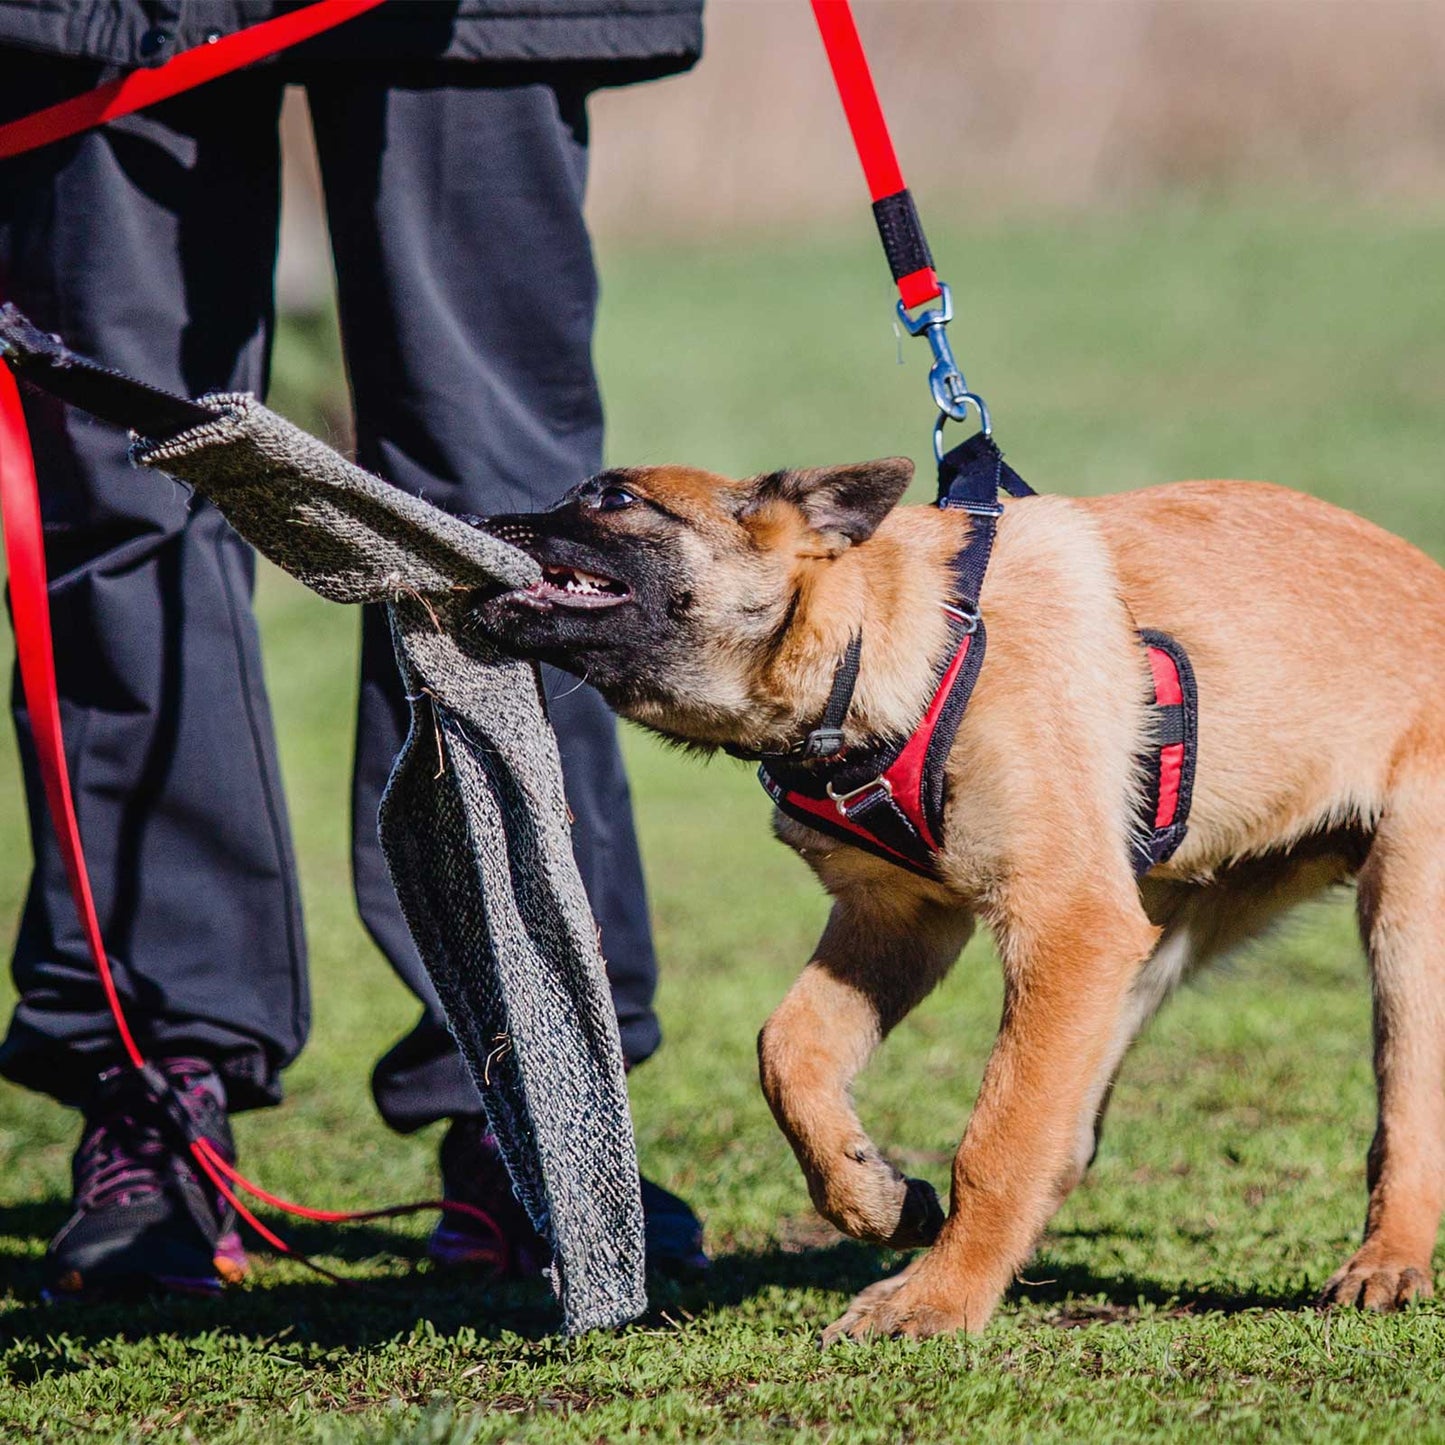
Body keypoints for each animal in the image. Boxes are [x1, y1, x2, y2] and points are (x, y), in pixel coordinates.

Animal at [473, 456, 1445, 1335]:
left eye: (613, 497)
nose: (475, 523)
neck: (891, 632)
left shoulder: (1063, 923)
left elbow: (997, 1137)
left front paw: (937, 1300)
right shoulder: (901, 918)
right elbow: (787, 1048)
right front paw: (870, 1196)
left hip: (1401, 920)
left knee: (1406, 1112)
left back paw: (1384, 1262)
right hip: (1150, 935)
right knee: (1070, 1129)